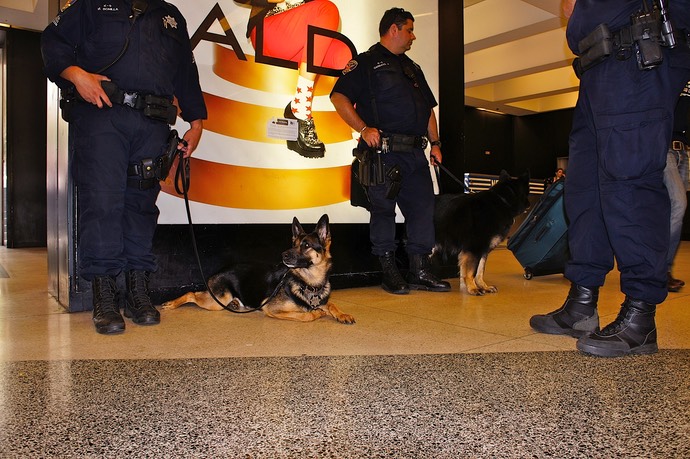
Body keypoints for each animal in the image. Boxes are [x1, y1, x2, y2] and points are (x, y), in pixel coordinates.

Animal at [161, 215, 354, 326]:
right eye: (294, 244)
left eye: (306, 245)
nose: (283, 255)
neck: (308, 283)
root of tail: (219, 271)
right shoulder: (272, 309)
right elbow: (305, 315)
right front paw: (316, 313)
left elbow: (331, 304)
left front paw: (343, 314)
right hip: (217, 301)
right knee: (191, 293)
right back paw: (172, 303)